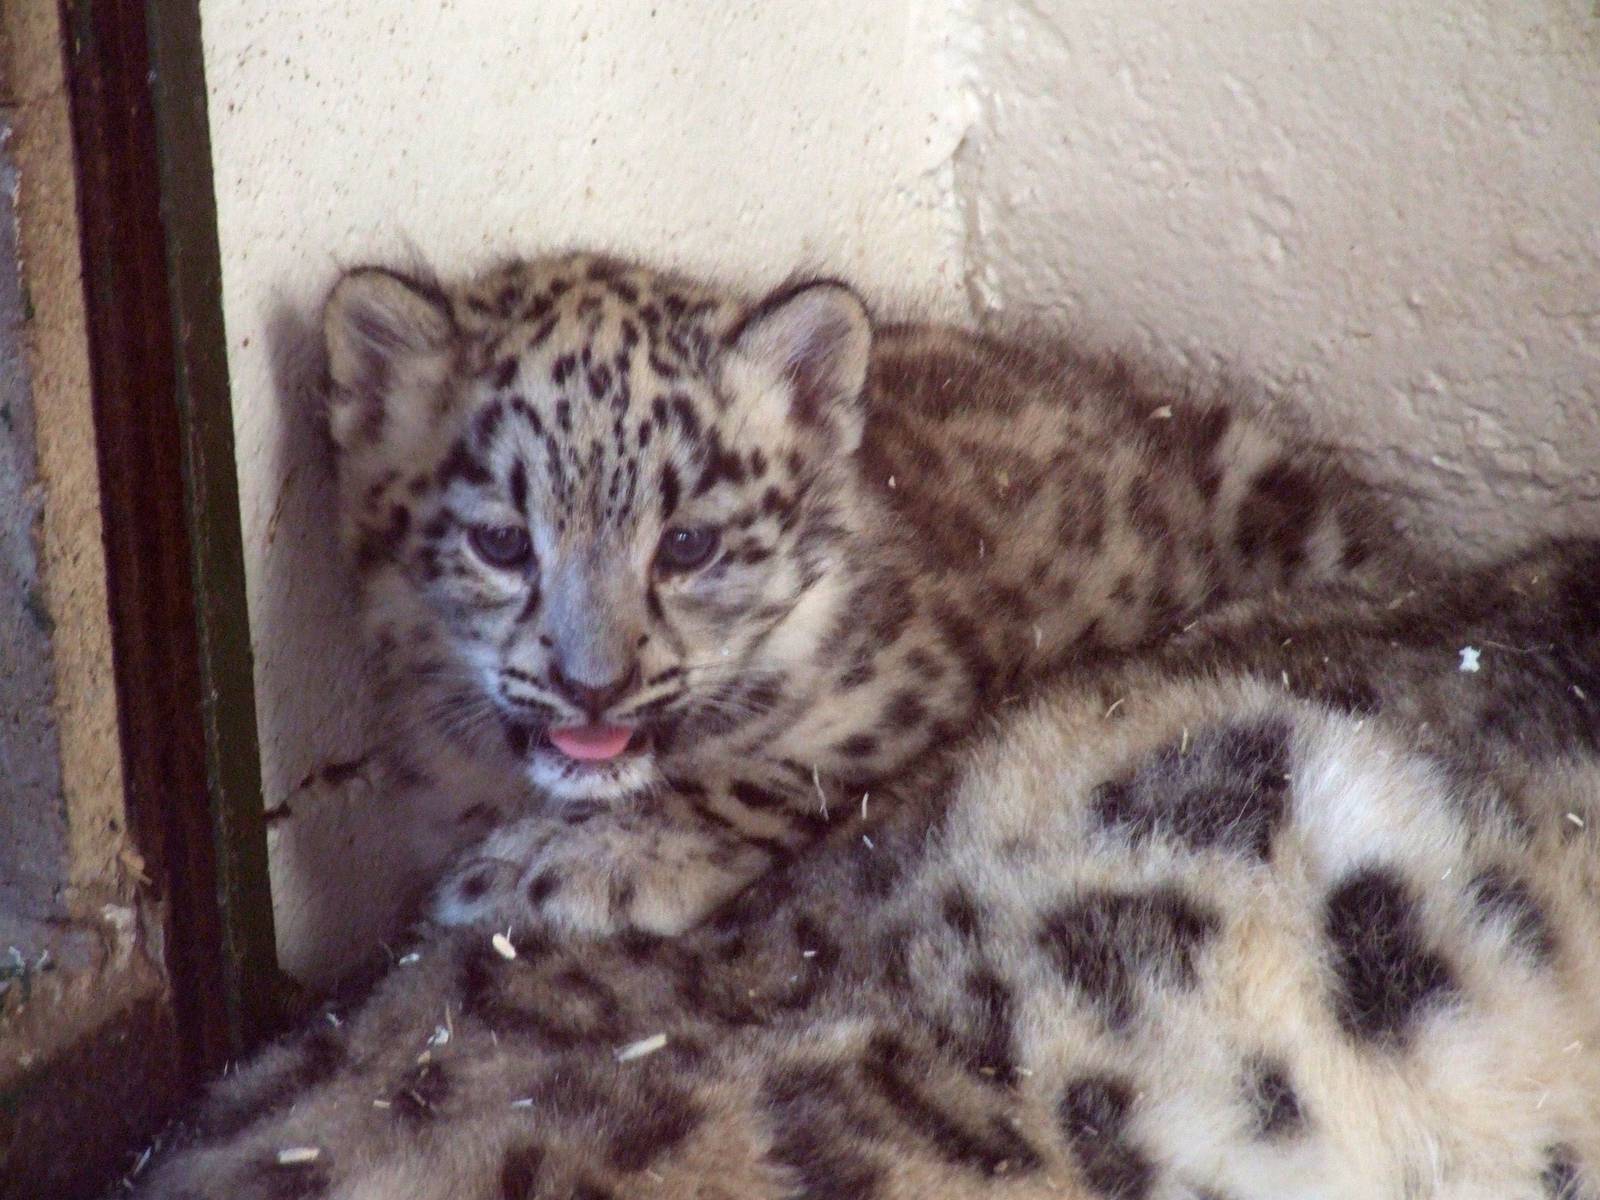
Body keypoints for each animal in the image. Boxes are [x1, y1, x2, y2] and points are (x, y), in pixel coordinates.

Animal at [311, 250, 1400, 961]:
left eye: (687, 545)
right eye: (501, 542)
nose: (594, 688)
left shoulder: (914, 693)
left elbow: (766, 773)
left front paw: (559, 865)